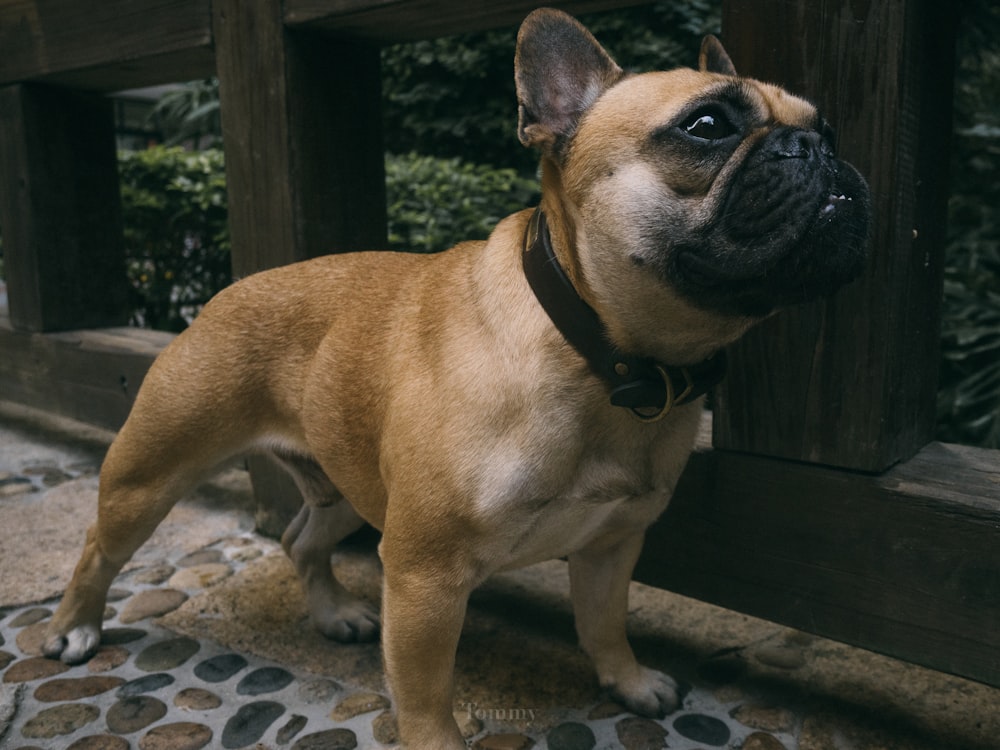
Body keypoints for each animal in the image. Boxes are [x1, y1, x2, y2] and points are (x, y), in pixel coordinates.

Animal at [47, 7, 872, 750]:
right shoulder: (425, 575)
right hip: (152, 472)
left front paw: (629, 681)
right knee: (98, 547)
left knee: (302, 539)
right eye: (706, 126)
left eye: (826, 126)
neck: (602, 355)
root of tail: (229, 289)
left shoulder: (611, 545)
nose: (818, 147)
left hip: (353, 491)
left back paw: (334, 614)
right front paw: (437, 736)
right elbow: (423, 690)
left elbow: (604, 623)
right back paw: (73, 628)